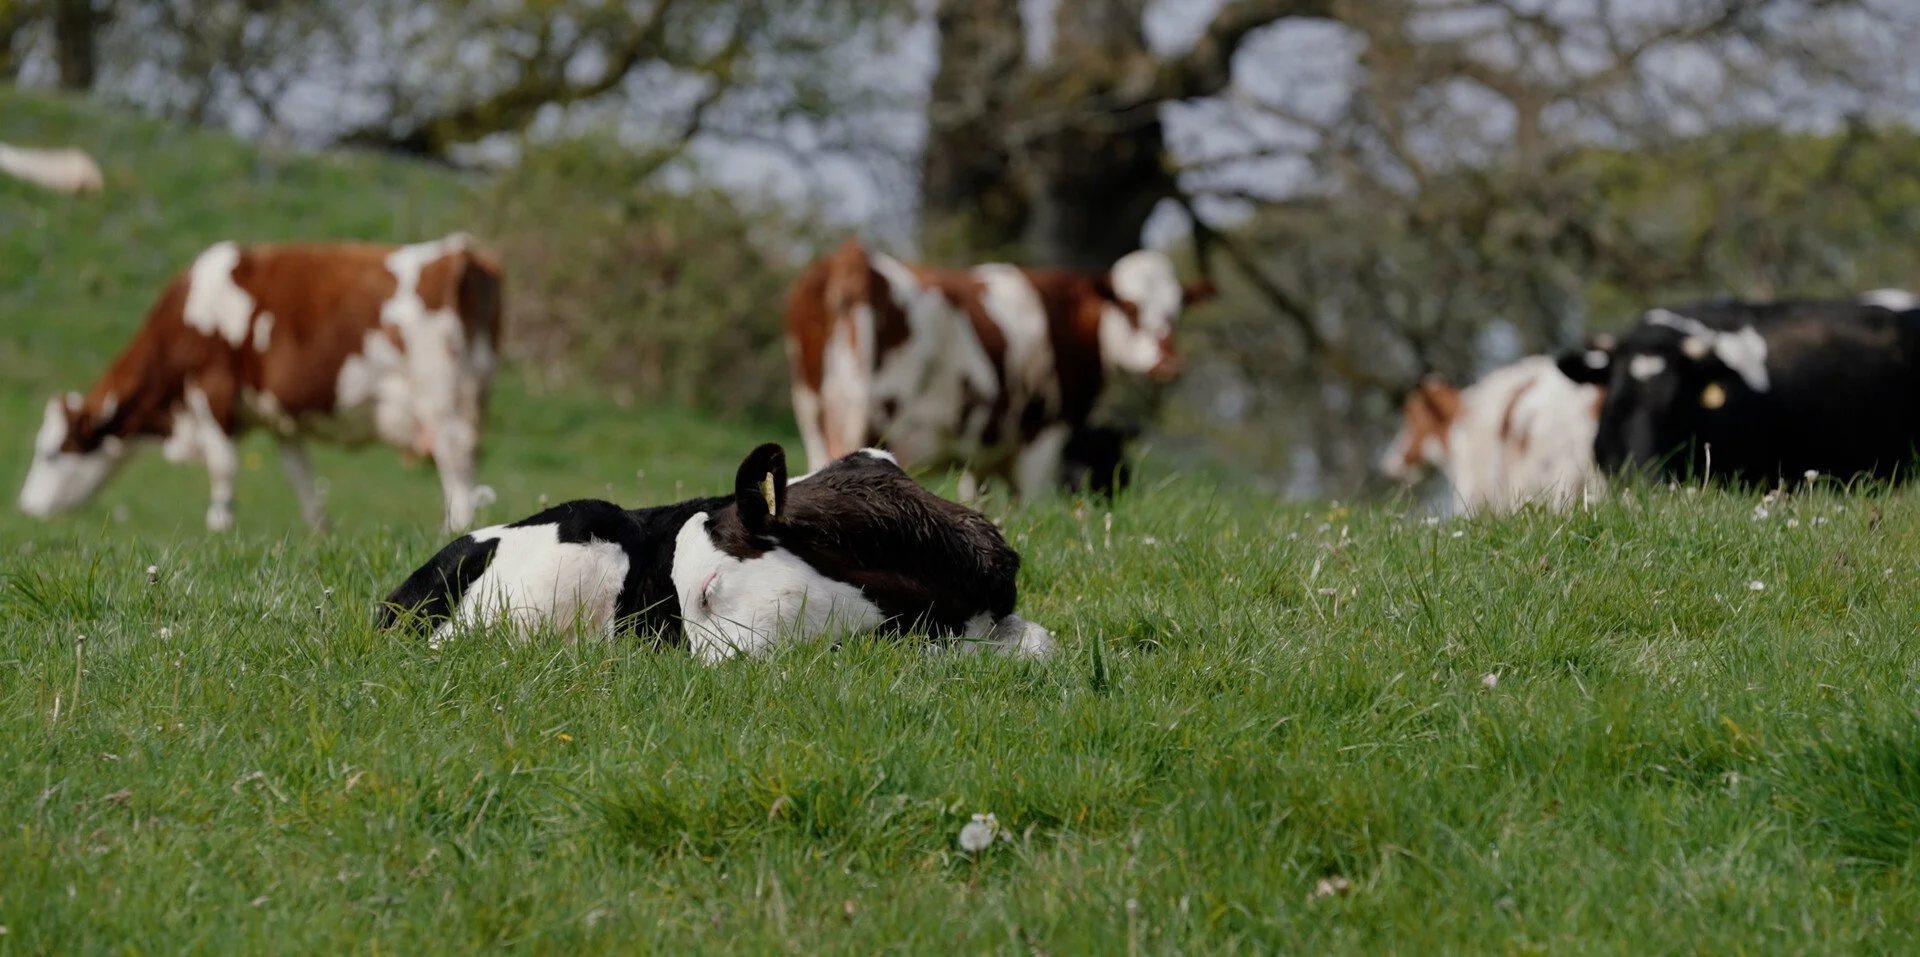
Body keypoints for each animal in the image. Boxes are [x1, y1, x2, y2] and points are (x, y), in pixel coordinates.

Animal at [17, 235, 501, 533]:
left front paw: (218, 526)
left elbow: (223, 465)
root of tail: (461, 253)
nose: (25, 508)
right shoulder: (280, 417)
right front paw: (318, 530)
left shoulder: (212, 389)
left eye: (49, 453)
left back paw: (455, 528)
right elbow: (300, 475)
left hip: (441, 400)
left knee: (455, 463)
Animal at [783, 238, 1213, 500]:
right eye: (1129, 308)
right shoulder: (1043, 438)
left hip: (813, 414)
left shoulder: (984, 452)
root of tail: (853, 255)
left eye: (1177, 310)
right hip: (872, 415)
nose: (1167, 364)